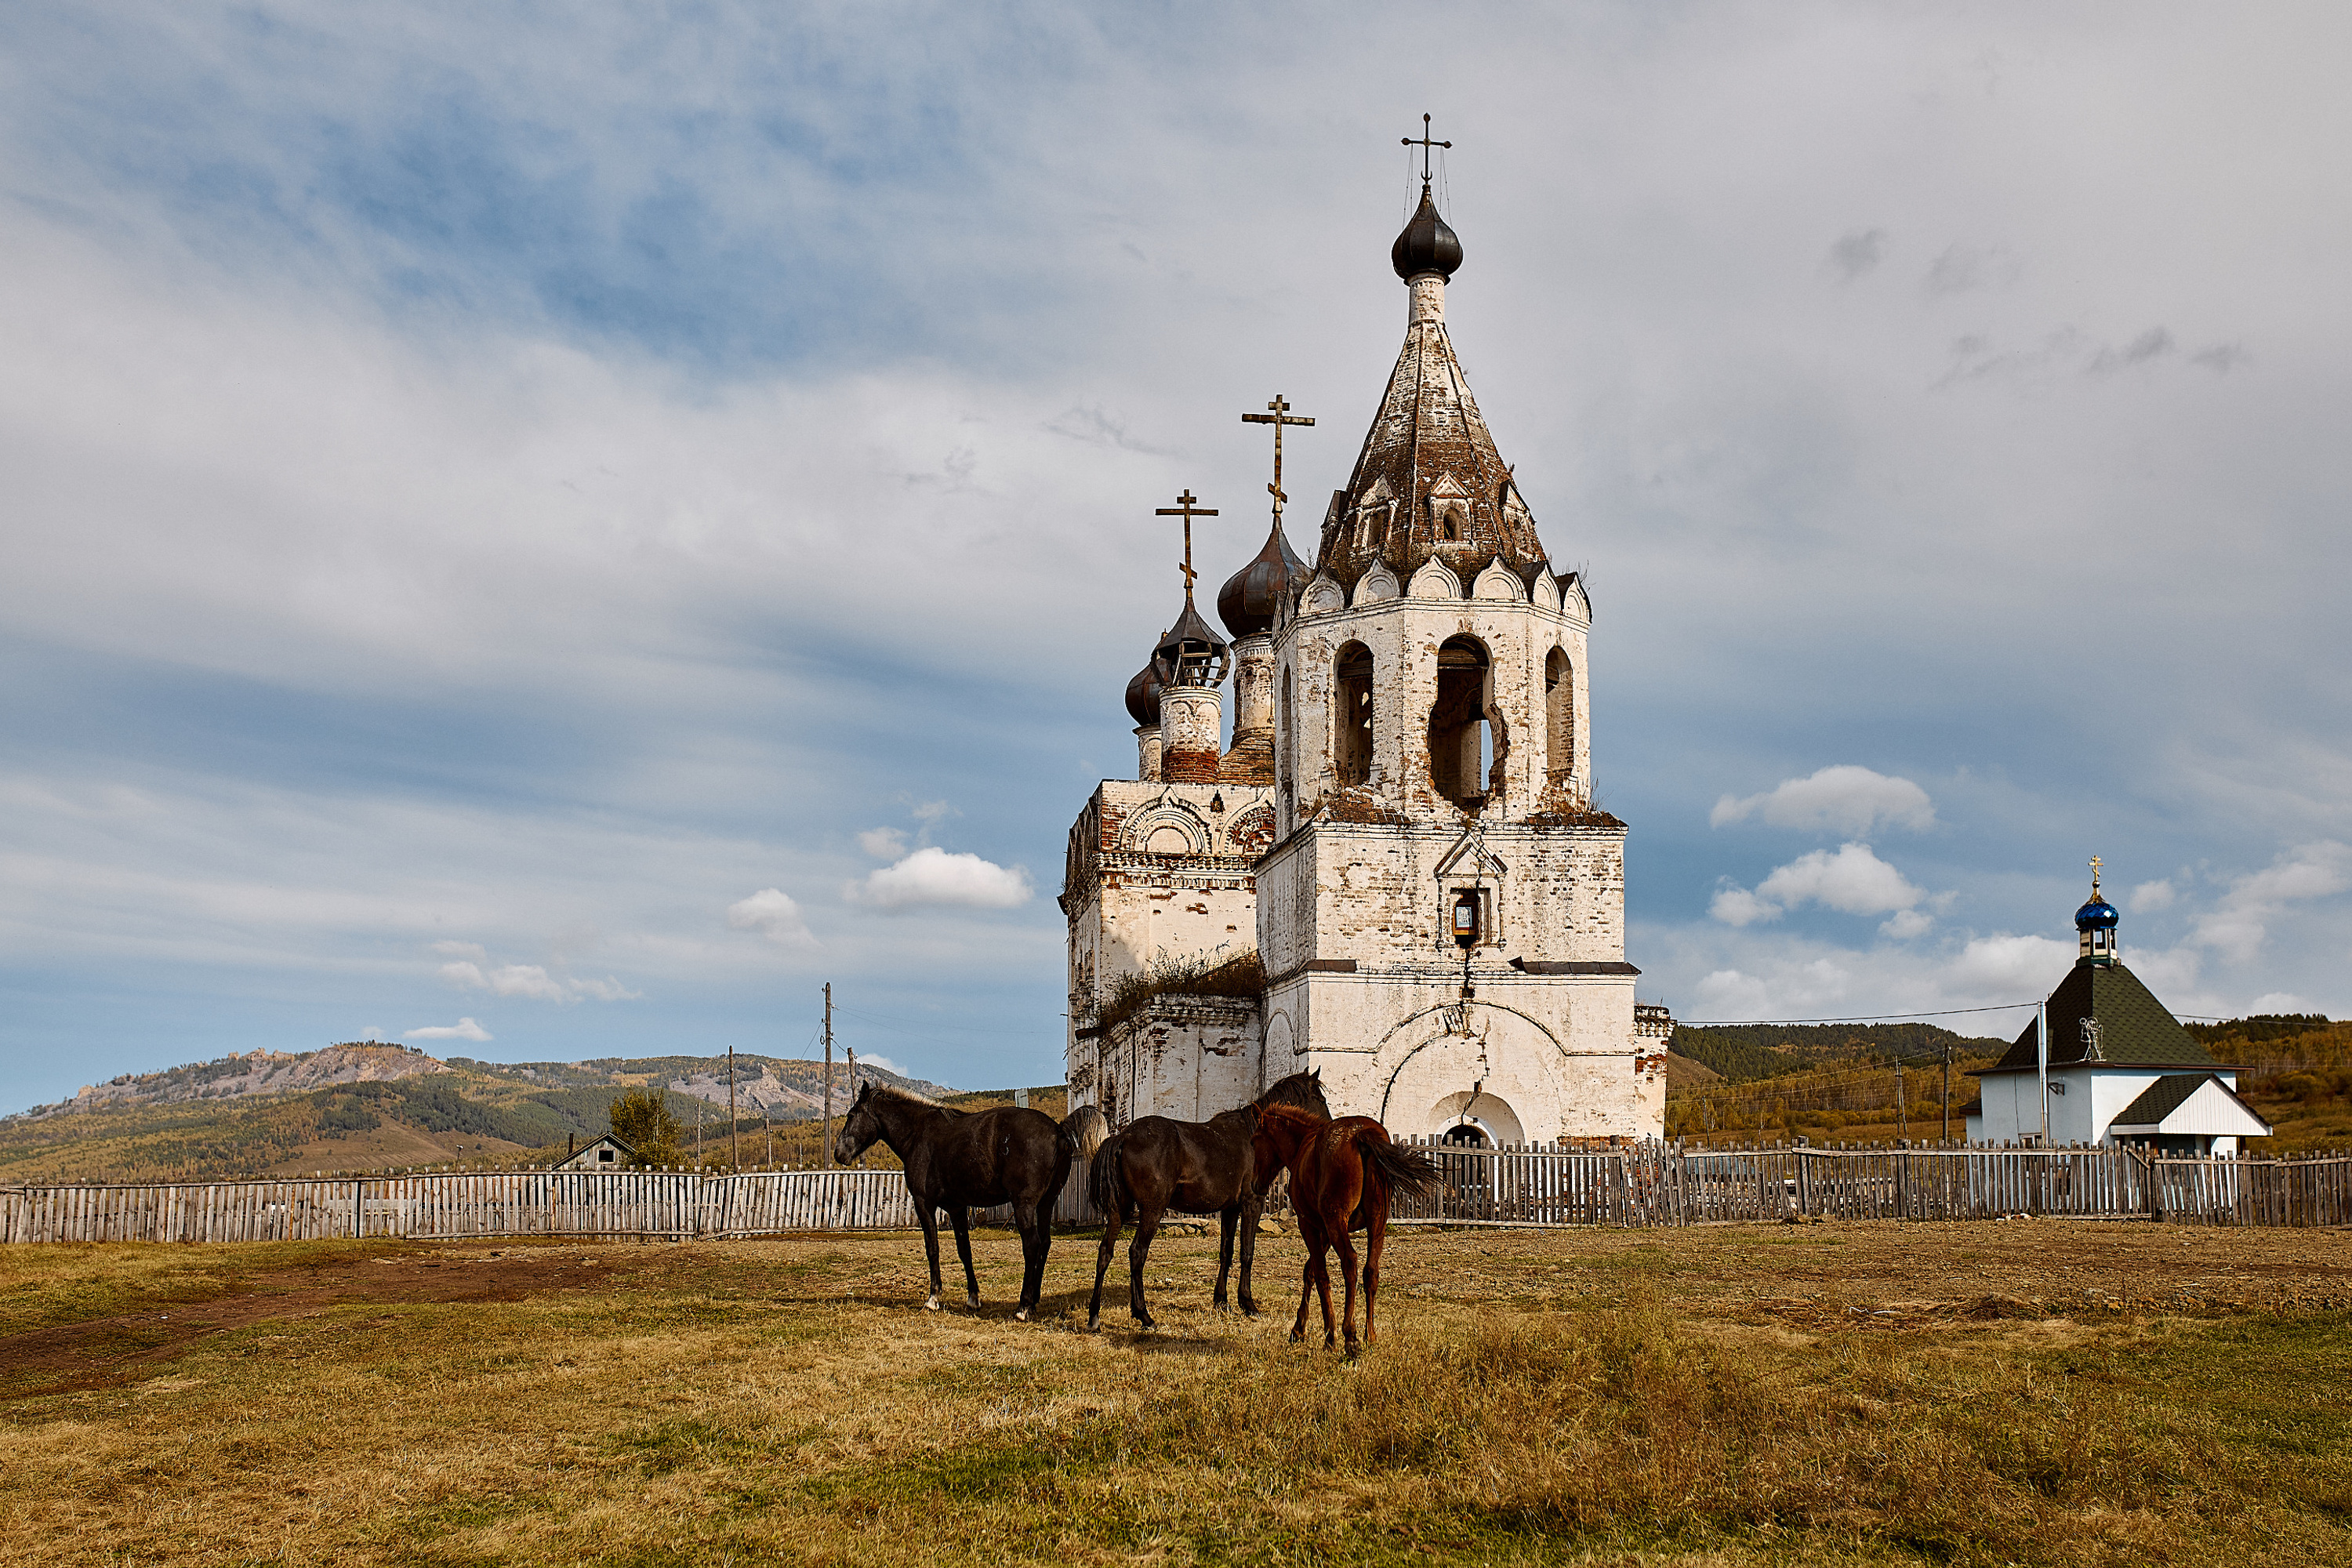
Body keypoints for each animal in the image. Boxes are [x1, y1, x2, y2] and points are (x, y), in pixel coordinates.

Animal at [837, 1081, 1110, 1326]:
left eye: (851, 1115)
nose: (839, 1153)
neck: (920, 1133)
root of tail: (1058, 1130)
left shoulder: (924, 1204)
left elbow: (932, 1248)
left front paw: (933, 1298)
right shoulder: (957, 1208)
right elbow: (964, 1251)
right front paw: (973, 1298)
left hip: (1025, 1205)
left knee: (1032, 1246)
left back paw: (1023, 1306)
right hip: (1045, 1204)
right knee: (1044, 1245)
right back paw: (1033, 1302)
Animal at [1087, 1062, 1336, 1335]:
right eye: (1320, 1099)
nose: (1330, 1129)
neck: (1254, 1136)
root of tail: (1123, 1137)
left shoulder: (1230, 1209)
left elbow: (1226, 1252)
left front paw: (1222, 1302)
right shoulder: (1252, 1203)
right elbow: (1247, 1251)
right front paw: (1248, 1304)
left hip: (1118, 1211)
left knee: (1105, 1252)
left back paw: (1094, 1317)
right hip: (1152, 1210)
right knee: (1137, 1253)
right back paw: (1144, 1315)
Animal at [1261, 1105, 1439, 1354]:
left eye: (1255, 1137)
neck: (1303, 1145)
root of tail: (1359, 1134)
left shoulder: (1310, 1225)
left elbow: (1320, 1274)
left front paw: (1328, 1335)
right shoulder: (1324, 1231)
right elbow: (1310, 1271)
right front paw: (1299, 1328)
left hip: (1337, 1221)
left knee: (1350, 1263)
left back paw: (1350, 1336)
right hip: (1377, 1222)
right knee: (1371, 1271)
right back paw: (1370, 1336)